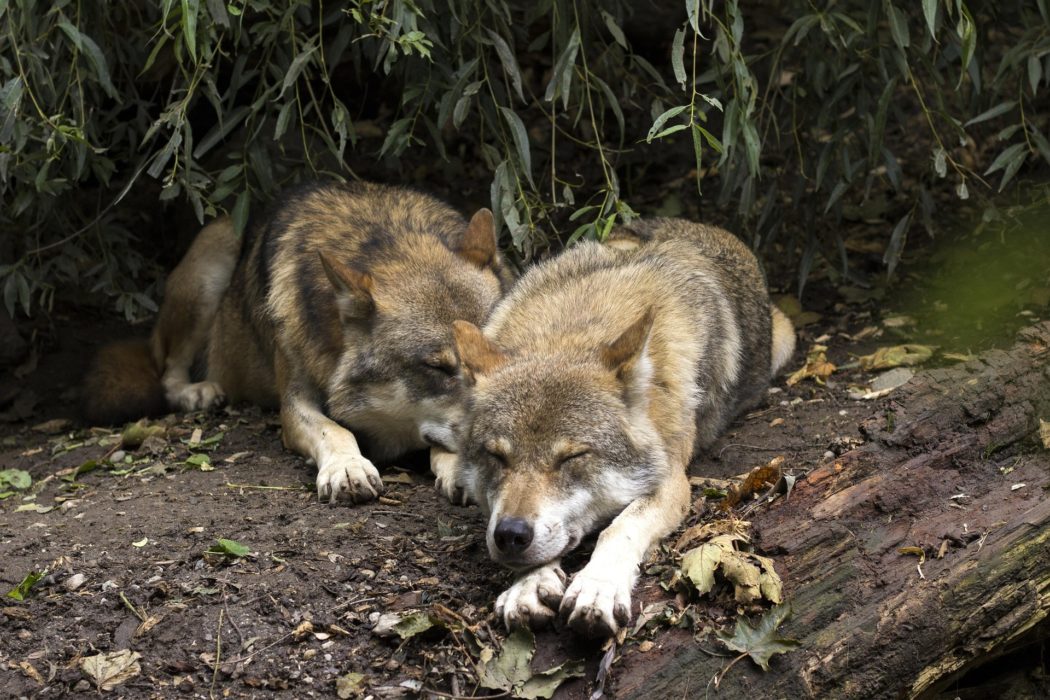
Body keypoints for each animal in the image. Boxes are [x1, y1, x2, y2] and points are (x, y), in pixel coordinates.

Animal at [83, 181, 509, 502]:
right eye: (437, 367)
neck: (382, 239)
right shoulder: (293, 405)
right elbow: (335, 430)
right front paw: (348, 467)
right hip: (212, 263)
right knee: (167, 372)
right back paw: (197, 392)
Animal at [446, 217, 795, 637]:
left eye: (572, 457)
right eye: (496, 456)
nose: (511, 535)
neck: (575, 326)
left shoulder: (671, 481)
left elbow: (618, 528)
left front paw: (598, 586)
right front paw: (527, 586)